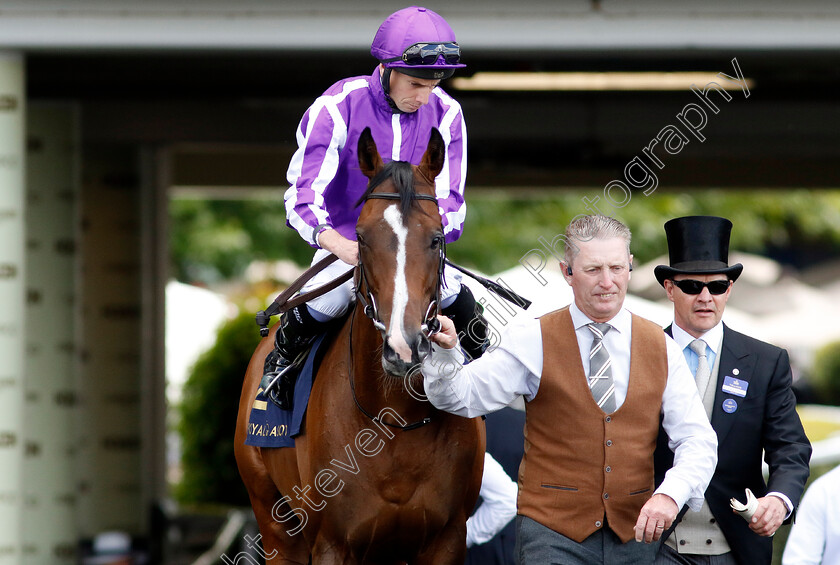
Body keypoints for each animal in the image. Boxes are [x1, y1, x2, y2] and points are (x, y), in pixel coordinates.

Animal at [236, 128, 486, 564]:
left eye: (436, 238)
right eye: (360, 237)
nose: (404, 348)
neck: (397, 420)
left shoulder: (448, 538)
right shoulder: (333, 543)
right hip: (274, 521)